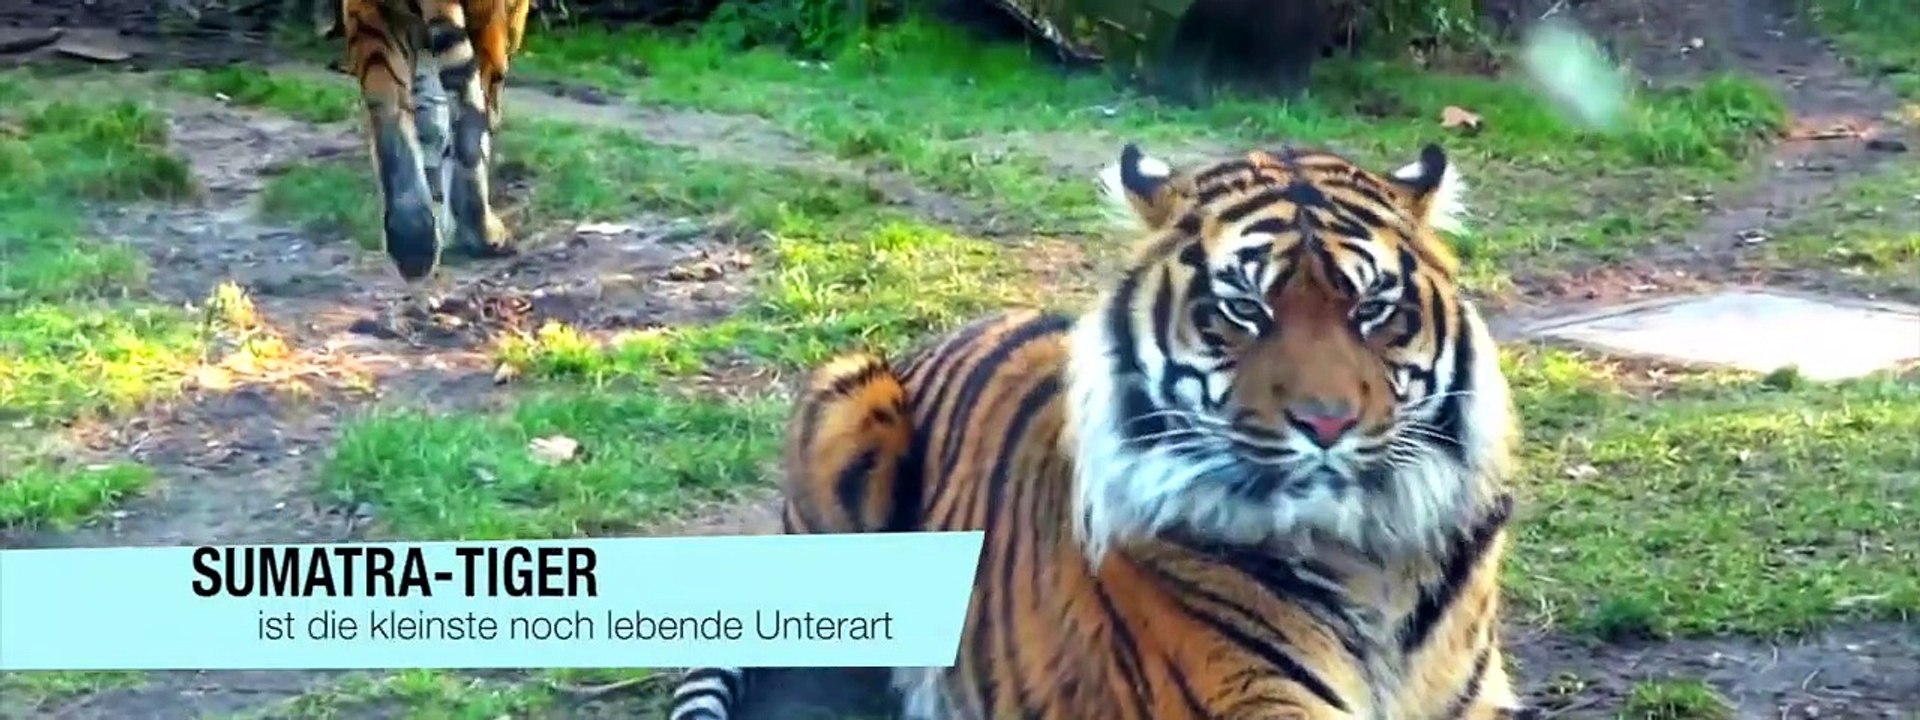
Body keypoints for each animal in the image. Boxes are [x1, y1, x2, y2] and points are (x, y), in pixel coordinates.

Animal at [341, 0, 530, 340]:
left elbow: (430, 124)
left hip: (372, 23)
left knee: (390, 118)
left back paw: (413, 243)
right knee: (471, 122)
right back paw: (483, 232)